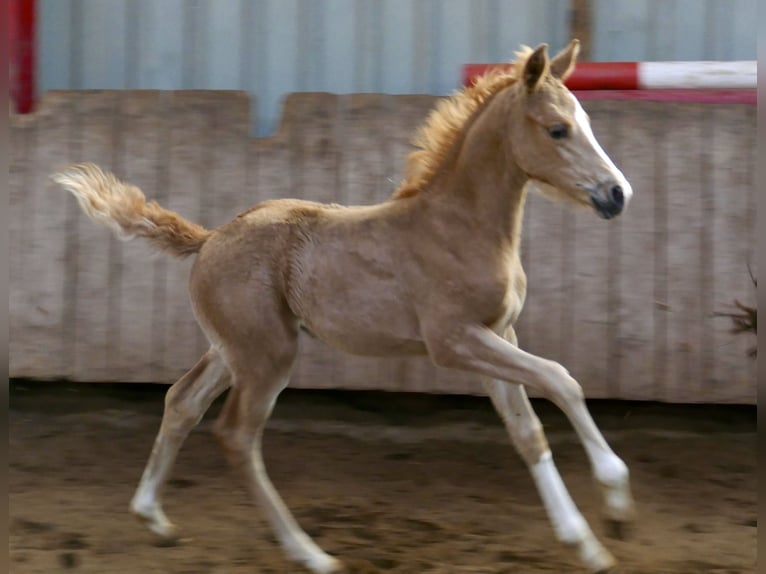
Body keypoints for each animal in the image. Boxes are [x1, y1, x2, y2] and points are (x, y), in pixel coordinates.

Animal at [52, 40, 635, 573]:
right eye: (557, 129)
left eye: (585, 120)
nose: (617, 194)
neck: (460, 227)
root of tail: (211, 237)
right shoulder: (454, 341)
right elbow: (561, 378)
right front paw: (616, 502)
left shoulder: (498, 335)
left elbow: (528, 433)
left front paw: (586, 543)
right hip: (268, 357)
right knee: (236, 435)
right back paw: (310, 554)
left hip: (231, 350)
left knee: (181, 402)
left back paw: (153, 517)